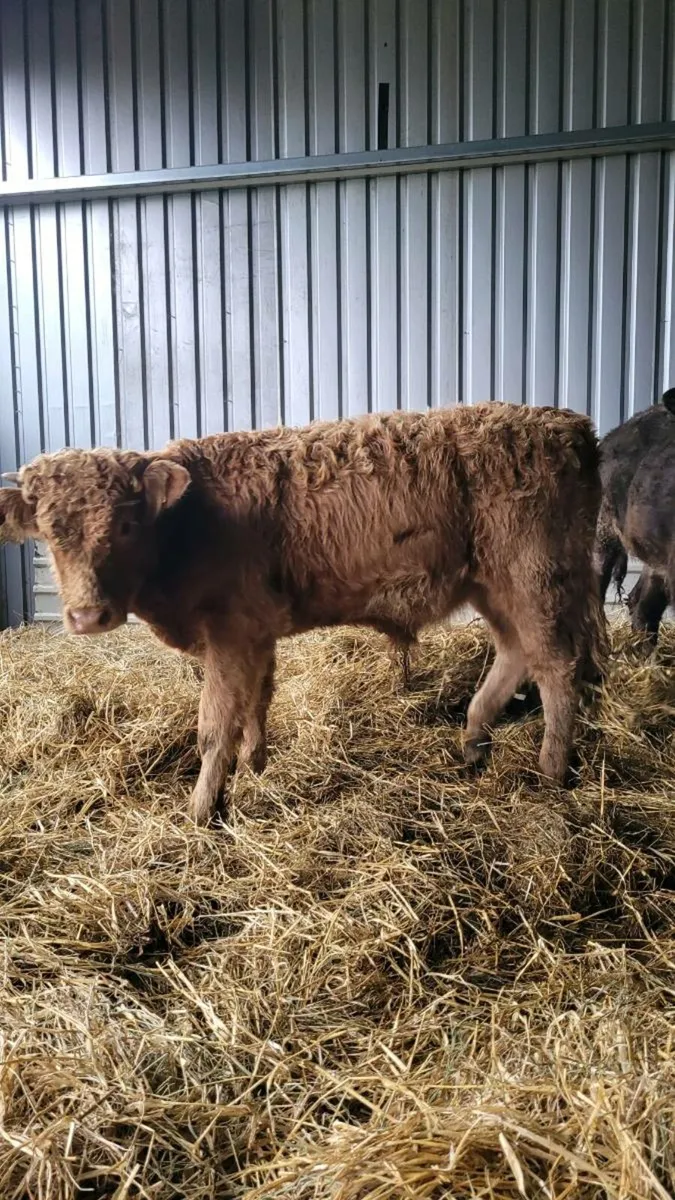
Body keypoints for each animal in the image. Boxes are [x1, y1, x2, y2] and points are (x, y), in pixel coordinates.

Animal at [0, 403, 606, 826]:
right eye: (50, 532)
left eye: (124, 525)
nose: (88, 616)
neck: (190, 522)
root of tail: (568, 425)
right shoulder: (255, 634)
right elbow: (255, 703)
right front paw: (255, 766)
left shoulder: (230, 634)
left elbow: (214, 724)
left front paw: (201, 811)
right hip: (491, 586)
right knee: (516, 654)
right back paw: (474, 743)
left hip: (532, 577)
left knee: (556, 664)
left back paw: (551, 770)